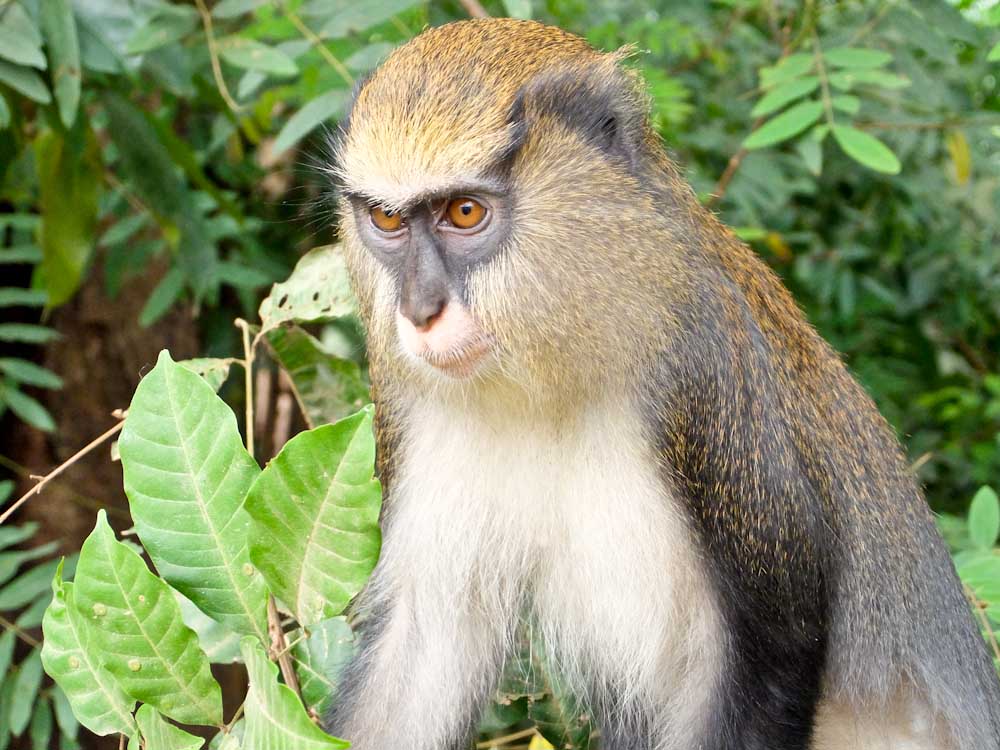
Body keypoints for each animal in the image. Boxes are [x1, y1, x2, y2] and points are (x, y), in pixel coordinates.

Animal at [322, 17, 1000, 750]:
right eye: (388, 221)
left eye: (466, 213)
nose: (420, 311)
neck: (555, 372)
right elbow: (423, 642)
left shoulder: (704, 379)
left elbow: (776, 641)